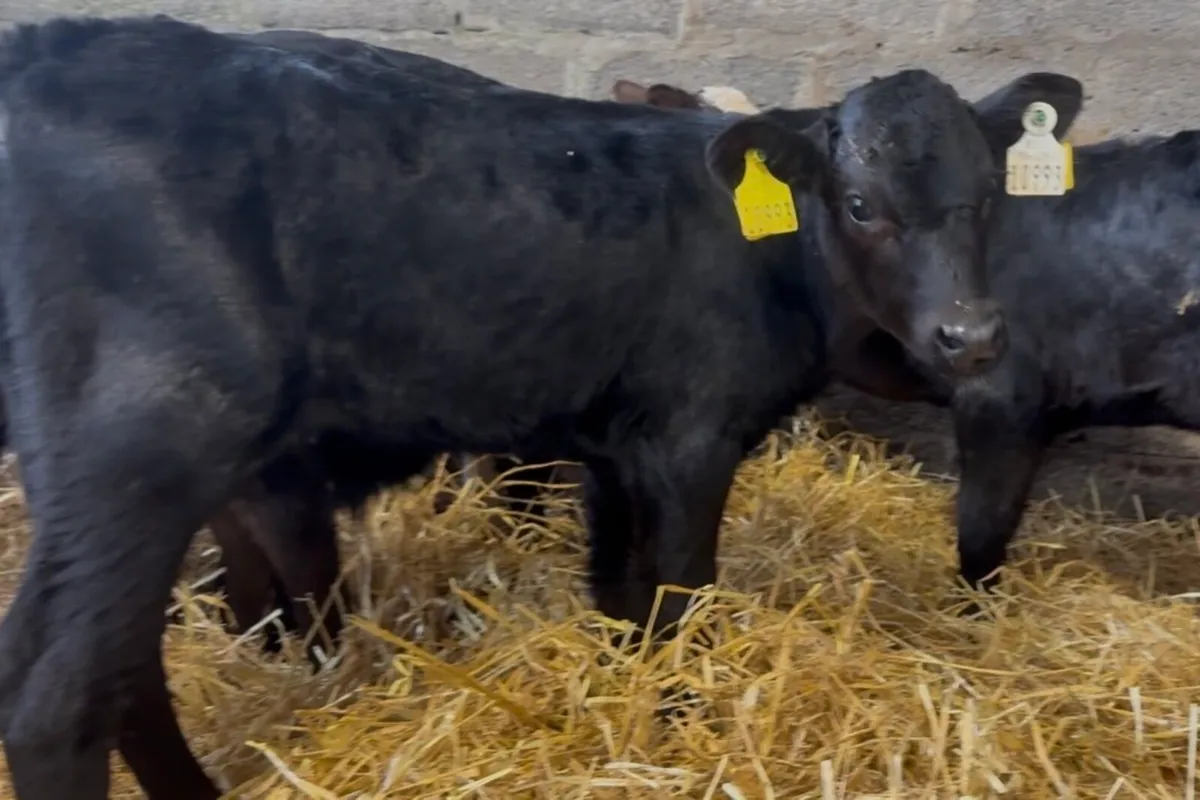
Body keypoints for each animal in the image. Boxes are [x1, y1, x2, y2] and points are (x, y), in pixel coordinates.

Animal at [0, 14, 1080, 799]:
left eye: (989, 195)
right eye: (861, 204)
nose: (972, 336)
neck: (759, 252)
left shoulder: (616, 446)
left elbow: (622, 595)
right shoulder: (693, 437)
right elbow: (684, 596)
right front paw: (682, 721)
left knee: (123, 668)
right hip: (143, 449)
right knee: (56, 696)